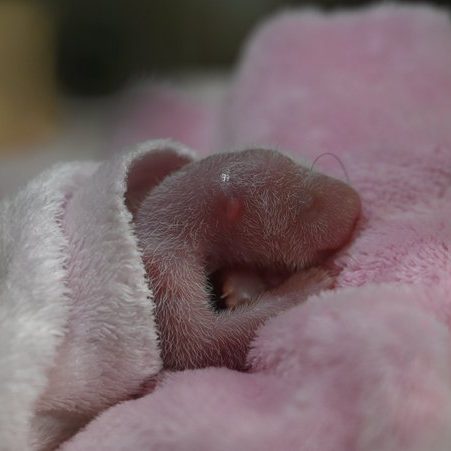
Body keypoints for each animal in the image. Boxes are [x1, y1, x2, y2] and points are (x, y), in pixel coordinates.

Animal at [134, 148, 360, 370]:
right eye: (307, 203)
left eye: (306, 168)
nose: (355, 201)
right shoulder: (163, 273)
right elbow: (201, 343)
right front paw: (305, 284)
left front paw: (240, 284)